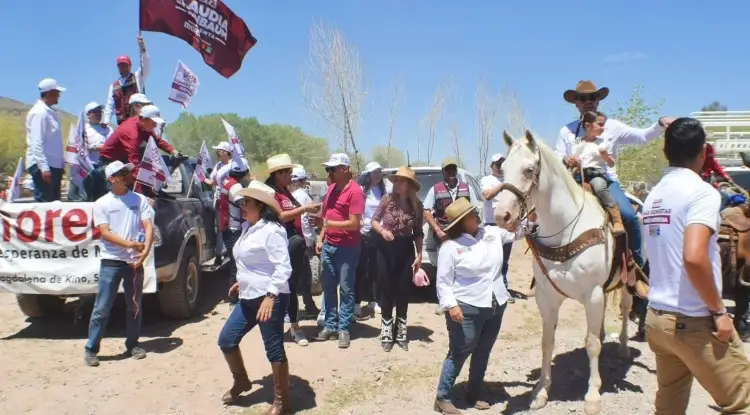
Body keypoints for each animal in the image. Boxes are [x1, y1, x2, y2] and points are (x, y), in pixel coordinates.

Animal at [496, 130, 636, 415]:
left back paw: (624, 348)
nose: (501, 215)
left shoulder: (592, 294)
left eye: (529, 170)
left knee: (625, 309)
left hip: (627, 281)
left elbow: (591, 345)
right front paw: (541, 391)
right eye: (502, 169)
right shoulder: (546, 297)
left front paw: (592, 395)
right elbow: (547, 341)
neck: (565, 229)